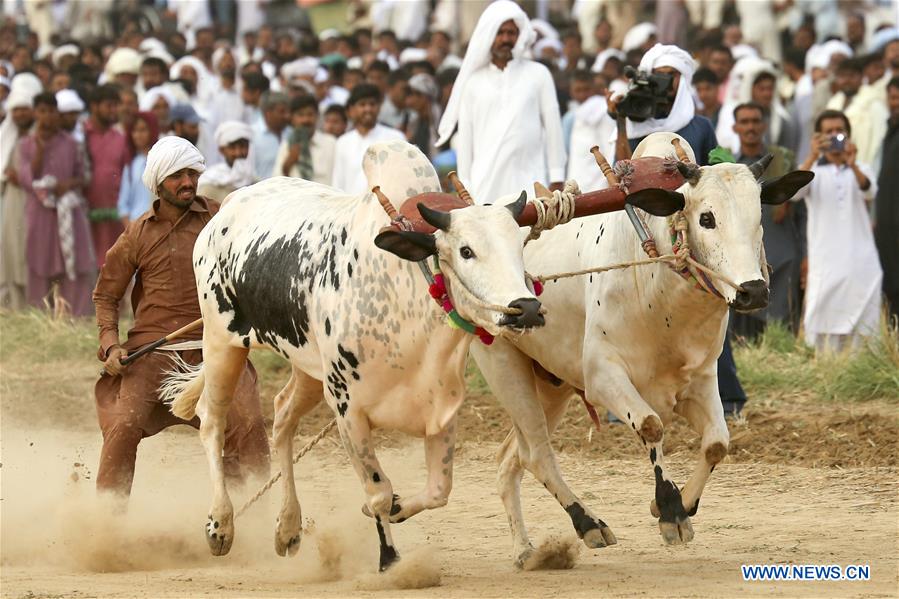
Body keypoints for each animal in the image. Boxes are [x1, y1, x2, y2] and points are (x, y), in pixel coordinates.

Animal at [160, 141, 545, 572]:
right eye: (466, 251)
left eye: (519, 247)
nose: (526, 309)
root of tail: (226, 206)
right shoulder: (348, 410)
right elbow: (377, 492)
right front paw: (389, 558)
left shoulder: (440, 406)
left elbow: (437, 490)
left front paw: (397, 510)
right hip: (221, 344)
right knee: (211, 421)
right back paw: (220, 525)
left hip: (307, 369)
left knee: (282, 417)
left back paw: (287, 526)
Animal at [470, 132, 814, 567]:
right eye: (707, 218)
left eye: (759, 219)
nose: (753, 291)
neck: (660, 289)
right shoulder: (604, 378)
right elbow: (651, 425)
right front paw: (670, 512)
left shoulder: (701, 380)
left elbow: (717, 443)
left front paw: (683, 503)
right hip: (504, 368)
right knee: (536, 455)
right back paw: (588, 525)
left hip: (551, 384)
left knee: (511, 459)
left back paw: (525, 551)